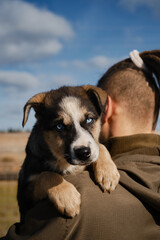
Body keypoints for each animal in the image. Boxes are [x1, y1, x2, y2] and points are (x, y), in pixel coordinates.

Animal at [17, 85, 120, 222]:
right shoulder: (24, 195)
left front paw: (108, 173)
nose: (83, 153)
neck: (63, 161)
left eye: (89, 119)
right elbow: (47, 175)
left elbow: (100, 146)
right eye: (59, 126)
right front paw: (67, 198)